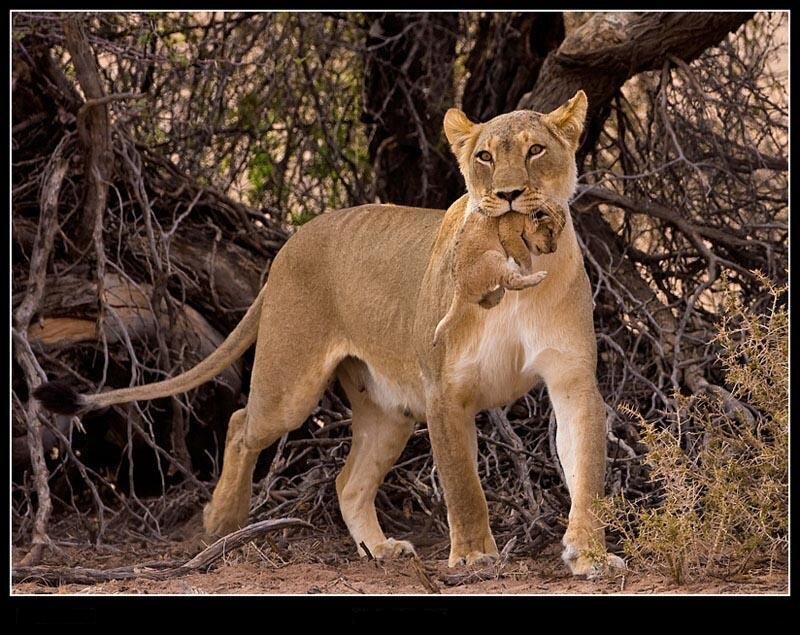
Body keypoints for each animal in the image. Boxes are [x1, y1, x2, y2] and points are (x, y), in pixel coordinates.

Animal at [34, 89, 624, 578]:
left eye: (535, 150)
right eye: (484, 156)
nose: (508, 194)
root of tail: (291, 241)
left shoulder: (573, 382)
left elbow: (587, 474)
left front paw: (590, 555)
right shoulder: (444, 391)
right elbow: (463, 485)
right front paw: (476, 556)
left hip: (389, 410)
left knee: (347, 481)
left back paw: (379, 549)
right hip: (290, 385)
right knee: (241, 423)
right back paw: (223, 520)